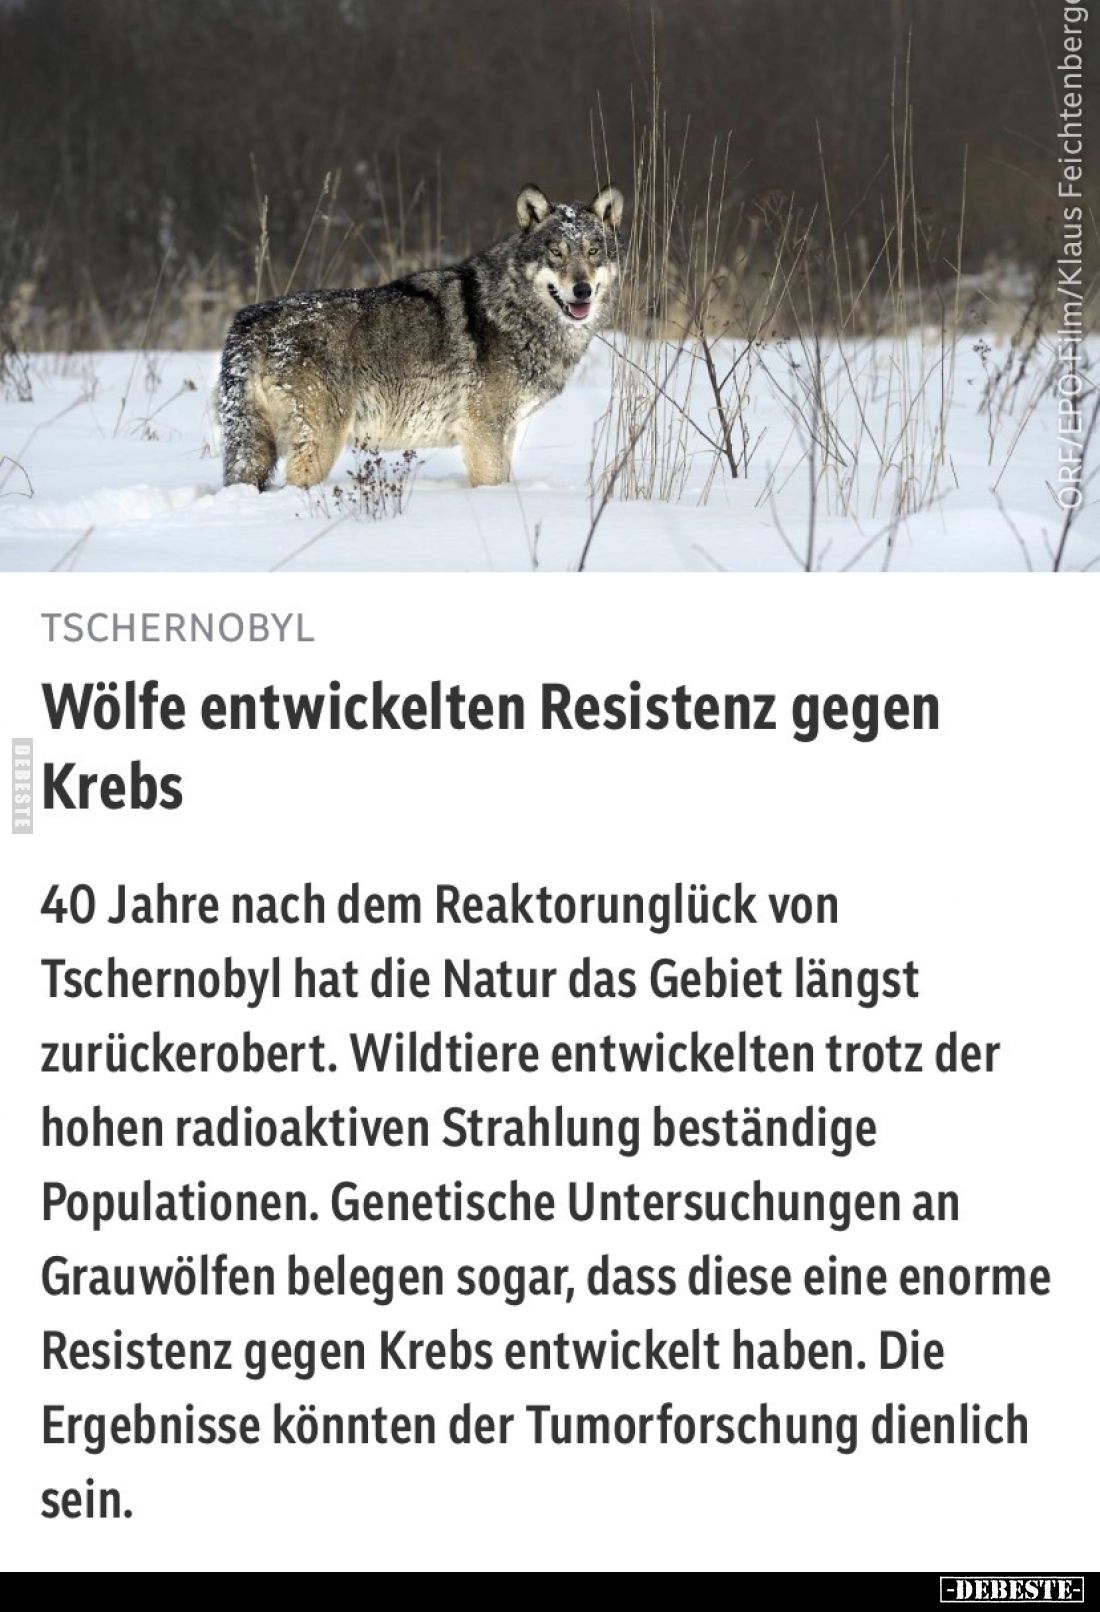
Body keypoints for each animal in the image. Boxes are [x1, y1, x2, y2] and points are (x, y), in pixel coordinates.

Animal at [218, 183, 624, 491]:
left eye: (593, 251)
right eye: (556, 252)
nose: (582, 290)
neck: (511, 308)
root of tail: (249, 319)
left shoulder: (505, 432)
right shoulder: (483, 431)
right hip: (319, 444)